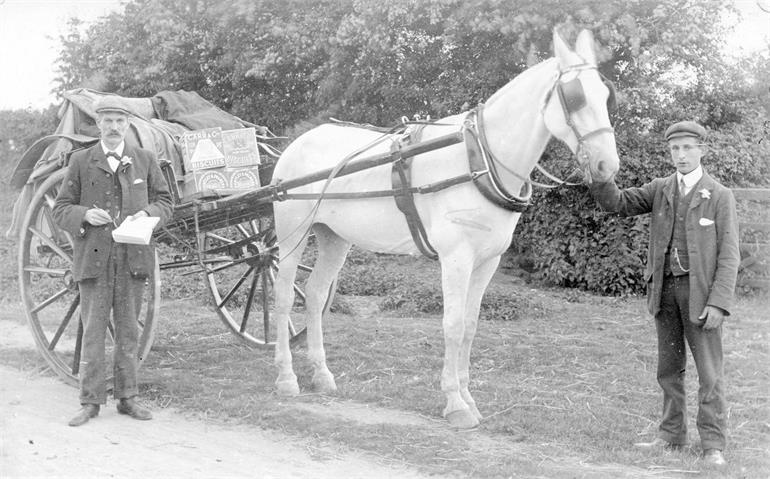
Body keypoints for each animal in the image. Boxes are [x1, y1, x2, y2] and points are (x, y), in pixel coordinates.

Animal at [270, 30, 616, 428]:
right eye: (575, 97)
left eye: (605, 94)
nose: (608, 165)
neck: (478, 160)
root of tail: (297, 143)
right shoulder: (456, 258)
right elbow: (452, 324)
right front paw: (455, 402)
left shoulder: (487, 262)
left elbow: (470, 325)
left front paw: (468, 397)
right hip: (293, 234)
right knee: (284, 296)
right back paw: (286, 377)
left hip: (333, 237)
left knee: (313, 294)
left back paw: (321, 374)